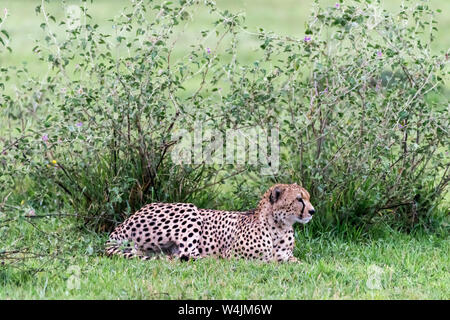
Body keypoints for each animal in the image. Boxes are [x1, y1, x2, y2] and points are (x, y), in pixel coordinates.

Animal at [105, 184, 316, 262]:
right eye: (299, 199)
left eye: (308, 198)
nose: (312, 211)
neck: (279, 227)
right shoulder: (234, 255)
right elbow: (266, 259)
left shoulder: (288, 255)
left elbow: (296, 261)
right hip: (189, 210)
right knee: (185, 254)